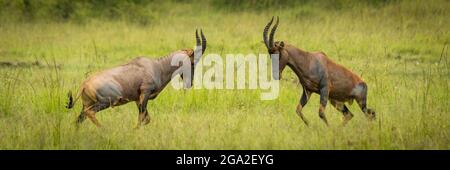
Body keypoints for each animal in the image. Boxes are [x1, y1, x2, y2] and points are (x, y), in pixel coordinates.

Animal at [66, 29, 207, 127]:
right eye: (193, 62)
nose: (189, 84)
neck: (156, 66)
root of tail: (84, 84)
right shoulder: (145, 94)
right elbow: (142, 119)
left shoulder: (137, 99)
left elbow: (146, 119)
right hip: (106, 101)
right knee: (89, 113)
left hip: (87, 104)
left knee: (79, 119)